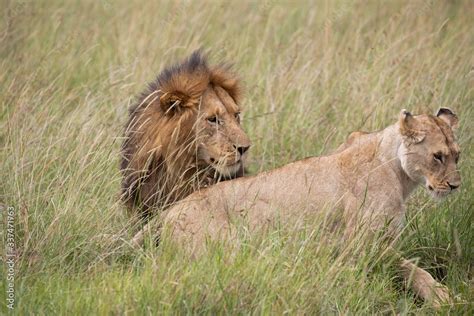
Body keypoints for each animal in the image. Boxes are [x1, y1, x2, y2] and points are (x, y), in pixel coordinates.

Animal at [135, 108, 462, 306]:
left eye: (458, 155)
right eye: (438, 156)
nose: (456, 186)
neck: (399, 170)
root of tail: (166, 213)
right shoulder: (361, 245)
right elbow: (412, 269)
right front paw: (442, 297)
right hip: (224, 248)